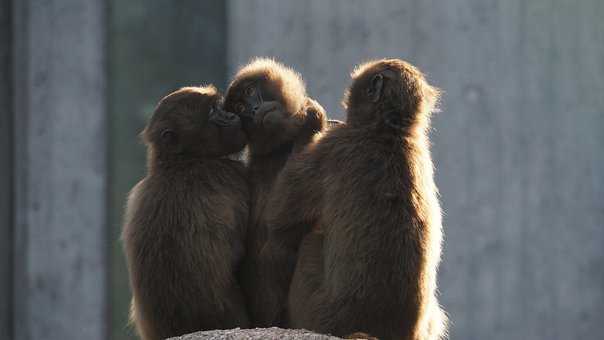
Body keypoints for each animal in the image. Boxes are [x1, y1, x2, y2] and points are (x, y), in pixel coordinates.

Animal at [222, 58, 326, 326]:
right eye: (239, 107)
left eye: (250, 91)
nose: (254, 109)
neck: (282, 146)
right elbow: (280, 226)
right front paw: (311, 125)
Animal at [264, 59, 448, 340]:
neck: (388, 131)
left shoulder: (334, 147)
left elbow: (279, 219)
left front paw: (311, 123)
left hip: (317, 311)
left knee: (309, 241)